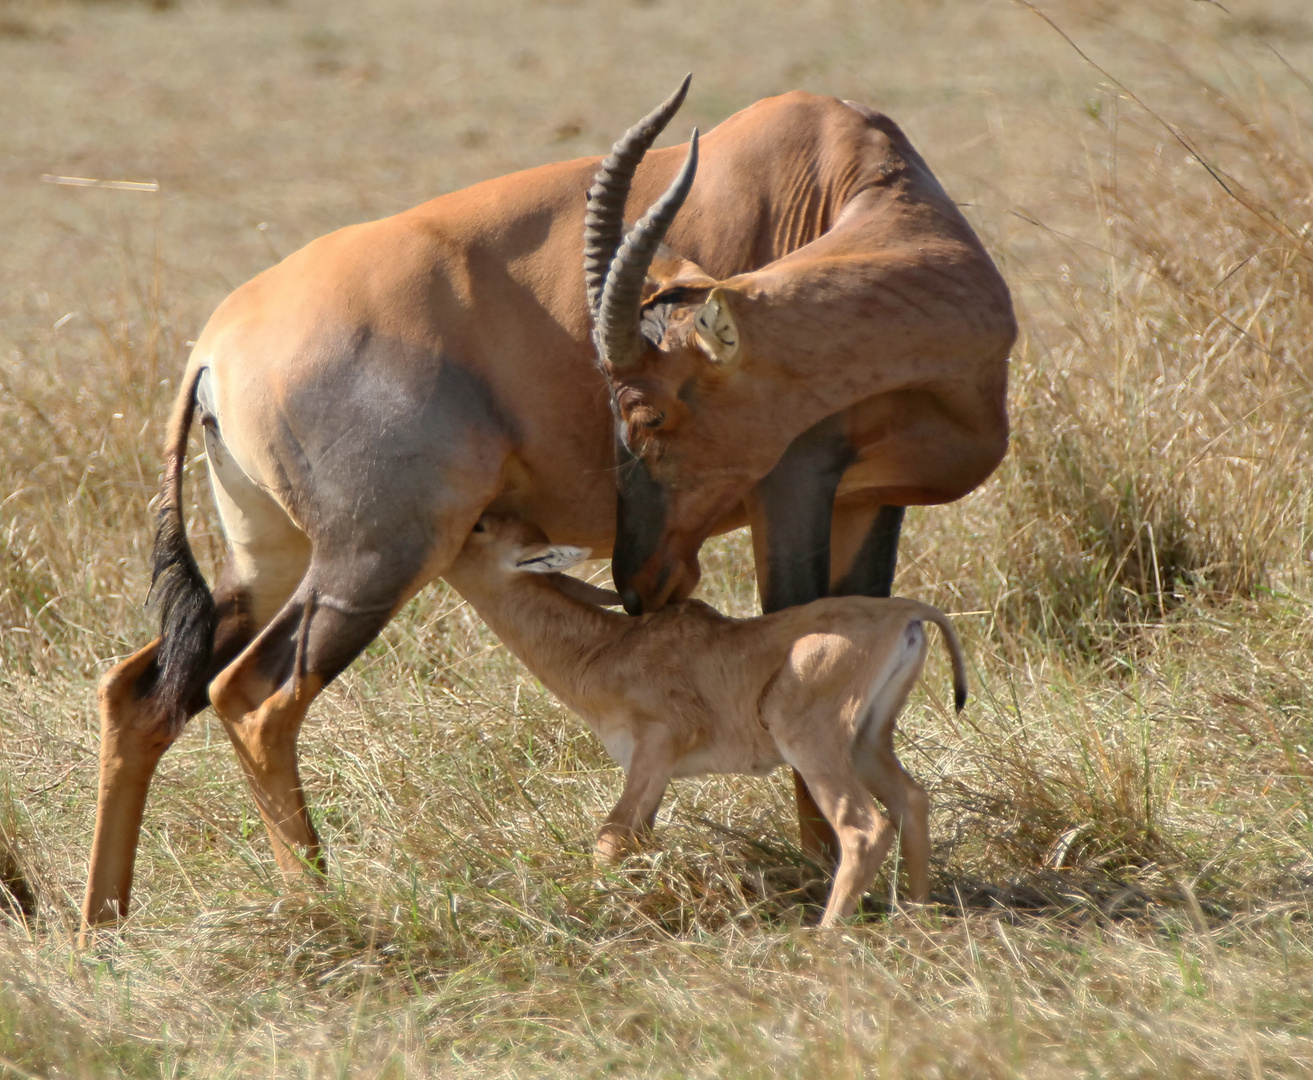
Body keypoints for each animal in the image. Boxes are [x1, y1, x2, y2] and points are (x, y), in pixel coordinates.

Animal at [446, 514, 971, 929]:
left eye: (480, 526)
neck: (611, 647)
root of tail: (905, 612)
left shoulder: (656, 749)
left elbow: (610, 839)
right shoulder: (653, 774)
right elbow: (637, 840)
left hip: (809, 739)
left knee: (863, 829)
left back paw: (823, 939)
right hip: (866, 741)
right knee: (910, 800)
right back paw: (917, 918)